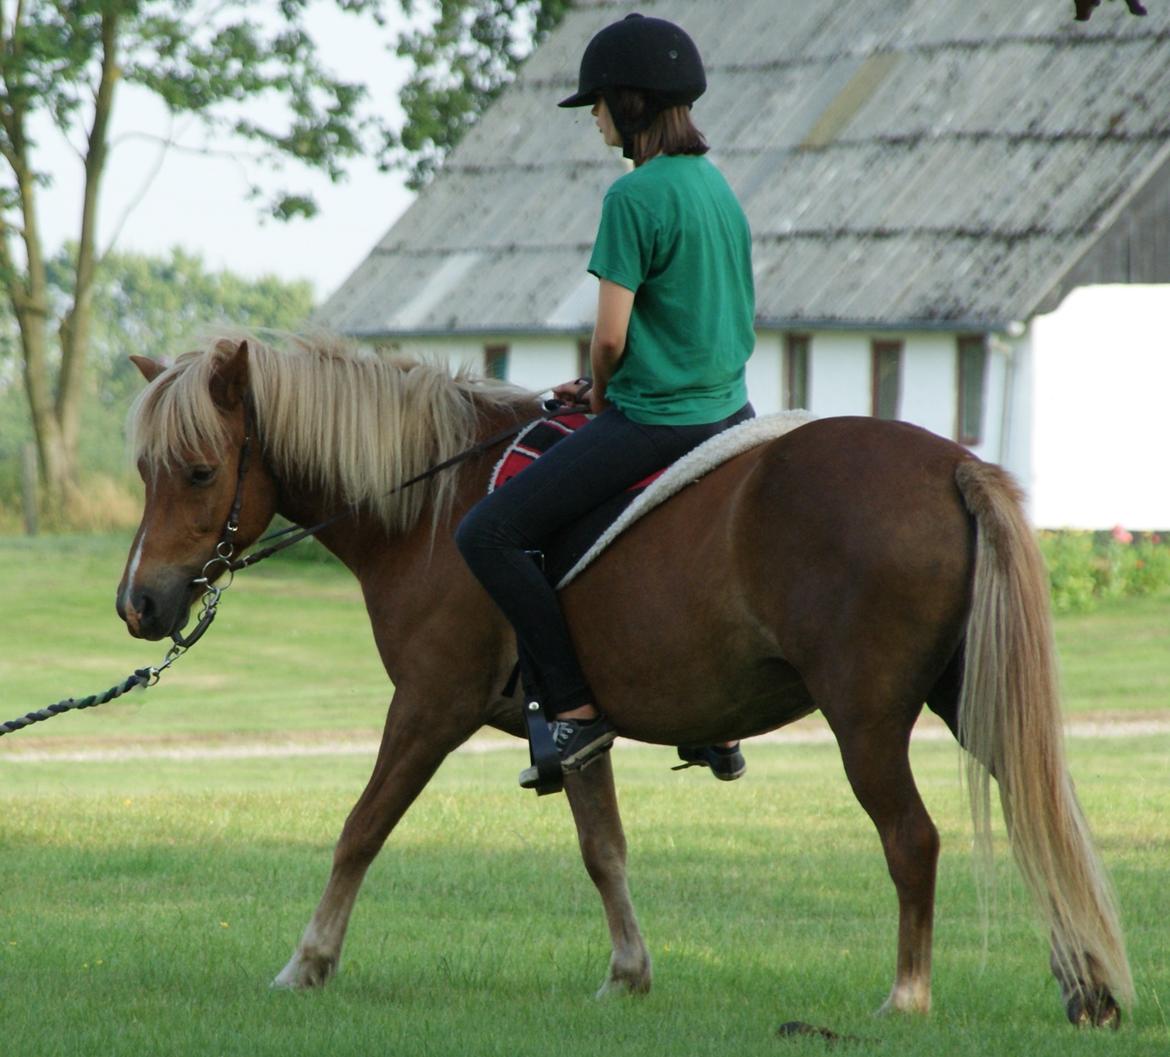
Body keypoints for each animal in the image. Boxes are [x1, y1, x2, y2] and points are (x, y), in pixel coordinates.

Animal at [118, 332, 1132, 1025]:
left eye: (199, 470)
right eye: (143, 469)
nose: (140, 602)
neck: (434, 507)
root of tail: (951, 460)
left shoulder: (429, 706)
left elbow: (358, 831)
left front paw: (309, 962)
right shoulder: (573, 725)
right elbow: (603, 849)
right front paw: (629, 975)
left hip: (867, 719)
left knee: (914, 840)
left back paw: (909, 995)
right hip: (966, 698)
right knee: (1043, 810)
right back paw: (1085, 979)